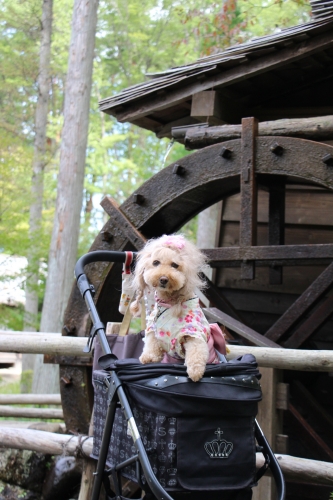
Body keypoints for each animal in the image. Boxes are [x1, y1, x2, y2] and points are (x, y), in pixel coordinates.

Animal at [131, 234, 219, 382]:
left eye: (174, 265)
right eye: (156, 262)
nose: (163, 279)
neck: (169, 301)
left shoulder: (194, 332)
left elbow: (196, 350)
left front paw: (195, 372)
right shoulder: (153, 327)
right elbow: (151, 342)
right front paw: (149, 357)